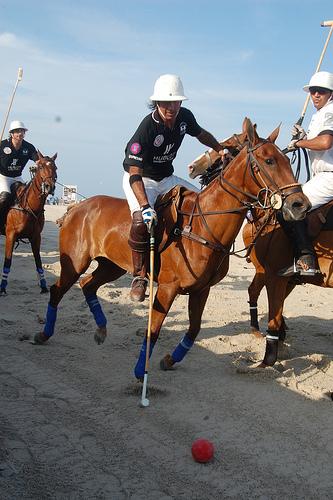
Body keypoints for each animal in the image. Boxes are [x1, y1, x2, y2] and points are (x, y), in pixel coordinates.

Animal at [0, 150, 57, 294]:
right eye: (40, 167)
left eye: (55, 168)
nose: (49, 187)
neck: (28, 206)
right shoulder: (11, 235)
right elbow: (7, 261)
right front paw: (2, 287)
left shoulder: (36, 237)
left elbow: (38, 261)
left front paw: (43, 286)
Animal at [33, 119, 308, 380]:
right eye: (269, 161)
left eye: (286, 159)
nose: (300, 204)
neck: (204, 226)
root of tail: (75, 208)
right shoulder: (167, 288)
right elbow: (153, 330)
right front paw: (140, 373)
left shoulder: (201, 289)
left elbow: (194, 329)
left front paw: (169, 360)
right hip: (74, 261)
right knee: (58, 290)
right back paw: (44, 334)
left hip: (112, 266)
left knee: (88, 284)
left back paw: (101, 330)